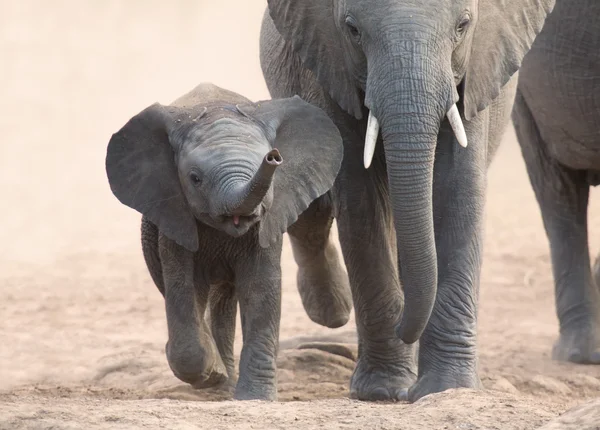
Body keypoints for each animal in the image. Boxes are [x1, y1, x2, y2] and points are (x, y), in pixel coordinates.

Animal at [104, 83, 352, 400]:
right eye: (195, 178)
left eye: (275, 166)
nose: (273, 157)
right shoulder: (175, 219)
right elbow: (184, 286)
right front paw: (212, 372)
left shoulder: (266, 225)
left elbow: (261, 289)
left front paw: (255, 398)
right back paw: (219, 379)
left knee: (224, 299)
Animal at [260, 0, 556, 404]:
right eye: (353, 30)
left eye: (463, 26)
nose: (404, 326)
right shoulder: (331, 71)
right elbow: (361, 198)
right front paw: (383, 390)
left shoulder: (475, 73)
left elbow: (458, 189)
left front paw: (446, 388)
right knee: (315, 207)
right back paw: (334, 310)